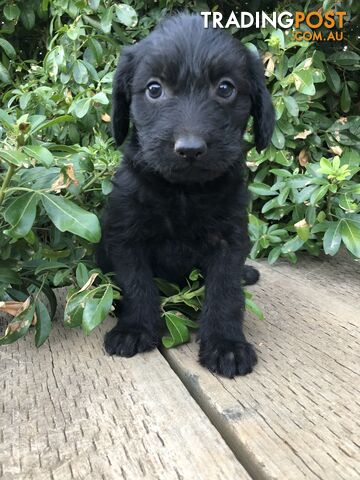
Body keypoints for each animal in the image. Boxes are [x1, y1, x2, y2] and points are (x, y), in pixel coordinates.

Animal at [97, 13, 274, 376]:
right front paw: (135, 328)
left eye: (225, 88)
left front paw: (226, 344)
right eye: (154, 89)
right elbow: (137, 284)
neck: (183, 193)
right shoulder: (125, 236)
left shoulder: (229, 240)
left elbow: (225, 292)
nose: (190, 149)